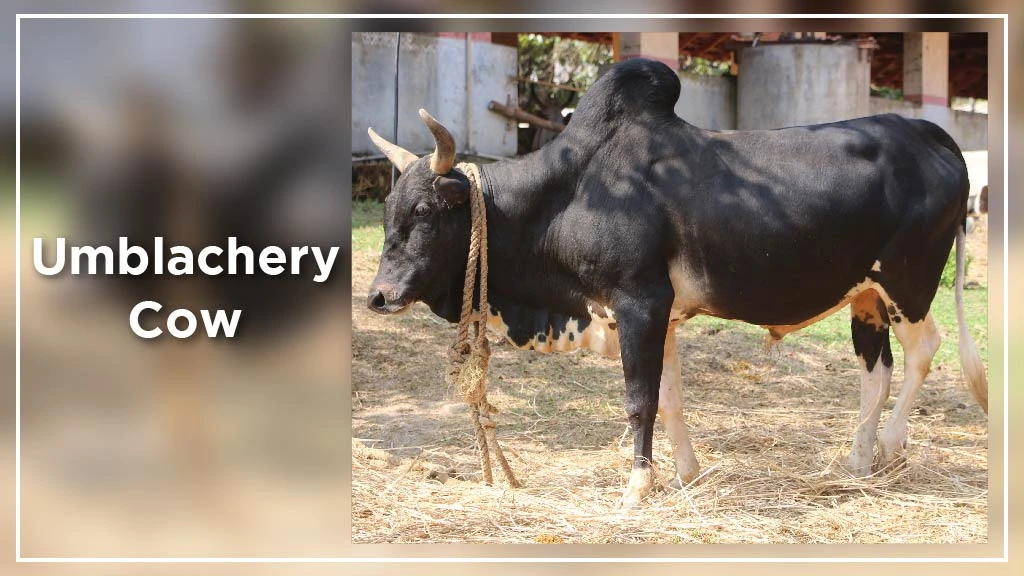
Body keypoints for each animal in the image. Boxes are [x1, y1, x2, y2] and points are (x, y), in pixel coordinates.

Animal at [365, 58, 988, 508]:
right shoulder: (652, 315)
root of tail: (931, 134)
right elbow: (669, 399)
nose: (379, 295)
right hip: (866, 297)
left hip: (908, 283)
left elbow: (641, 401)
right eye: (390, 209)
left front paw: (637, 490)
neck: (569, 194)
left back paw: (888, 445)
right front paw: (686, 473)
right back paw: (857, 464)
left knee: (924, 351)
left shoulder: (640, 301)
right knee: (874, 372)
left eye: (423, 211)